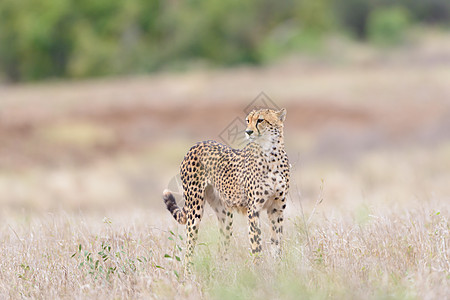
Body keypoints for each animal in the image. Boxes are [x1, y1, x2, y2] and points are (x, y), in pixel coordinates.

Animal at [163, 107, 290, 264]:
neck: (271, 154)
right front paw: (259, 269)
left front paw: (279, 267)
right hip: (195, 209)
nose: (248, 132)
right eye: (248, 120)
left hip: (225, 214)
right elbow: (256, 246)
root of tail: (198, 143)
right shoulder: (253, 210)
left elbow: (277, 244)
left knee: (222, 247)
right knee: (188, 251)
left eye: (260, 120)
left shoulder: (277, 208)